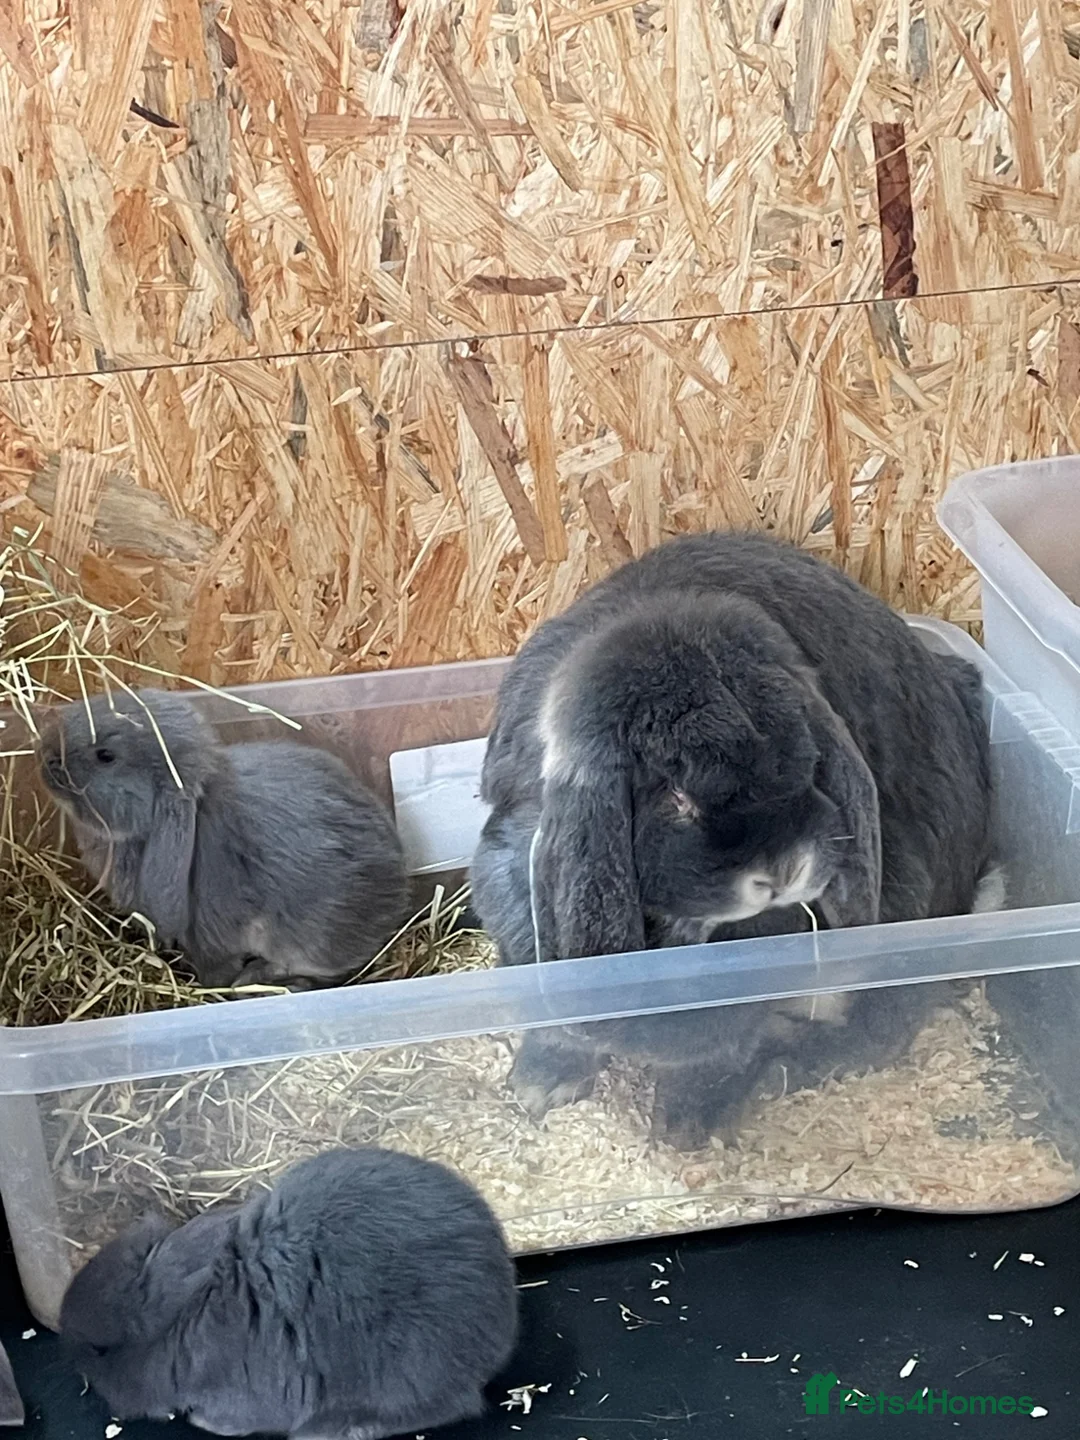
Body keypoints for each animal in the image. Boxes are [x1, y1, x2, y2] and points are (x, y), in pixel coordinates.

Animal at [59, 1146, 519, 1440]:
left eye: (100, 1349)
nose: (70, 1357)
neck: (191, 1315)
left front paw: (202, 1423)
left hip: (409, 1370)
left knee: (451, 1406)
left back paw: (341, 1430)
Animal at [471, 532, 997, 1142]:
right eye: (674, 794)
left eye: (809, 764)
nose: (785, 868)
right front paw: (542, 1083)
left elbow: (728, 1046)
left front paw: (684, 1123)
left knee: (885, 1021)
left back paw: (789, 1069)